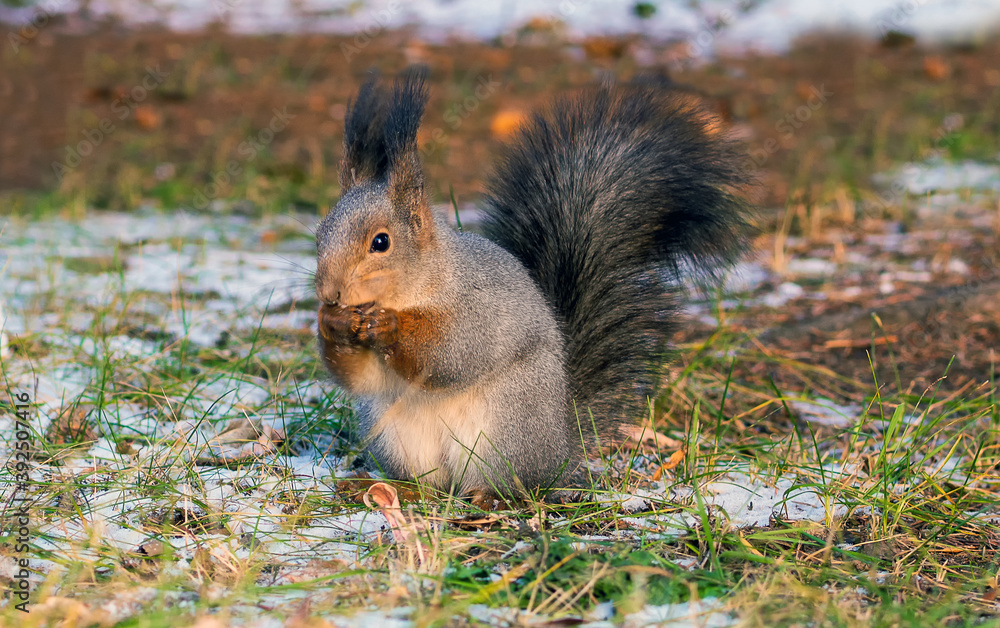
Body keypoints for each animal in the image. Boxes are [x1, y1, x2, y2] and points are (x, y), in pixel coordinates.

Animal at [312, 66, 752, 502]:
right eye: (319, 233)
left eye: (381, 242)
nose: (330, 294)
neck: (419, 284)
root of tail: (559, 447)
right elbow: (362, 379)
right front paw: (330, 324)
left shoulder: (477, 309)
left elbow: (451, 355)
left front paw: (390, 326)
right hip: (395, 434)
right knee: (429, 486)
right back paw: (387, 488)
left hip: (506, 425)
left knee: (515, 483)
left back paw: (488, 496)